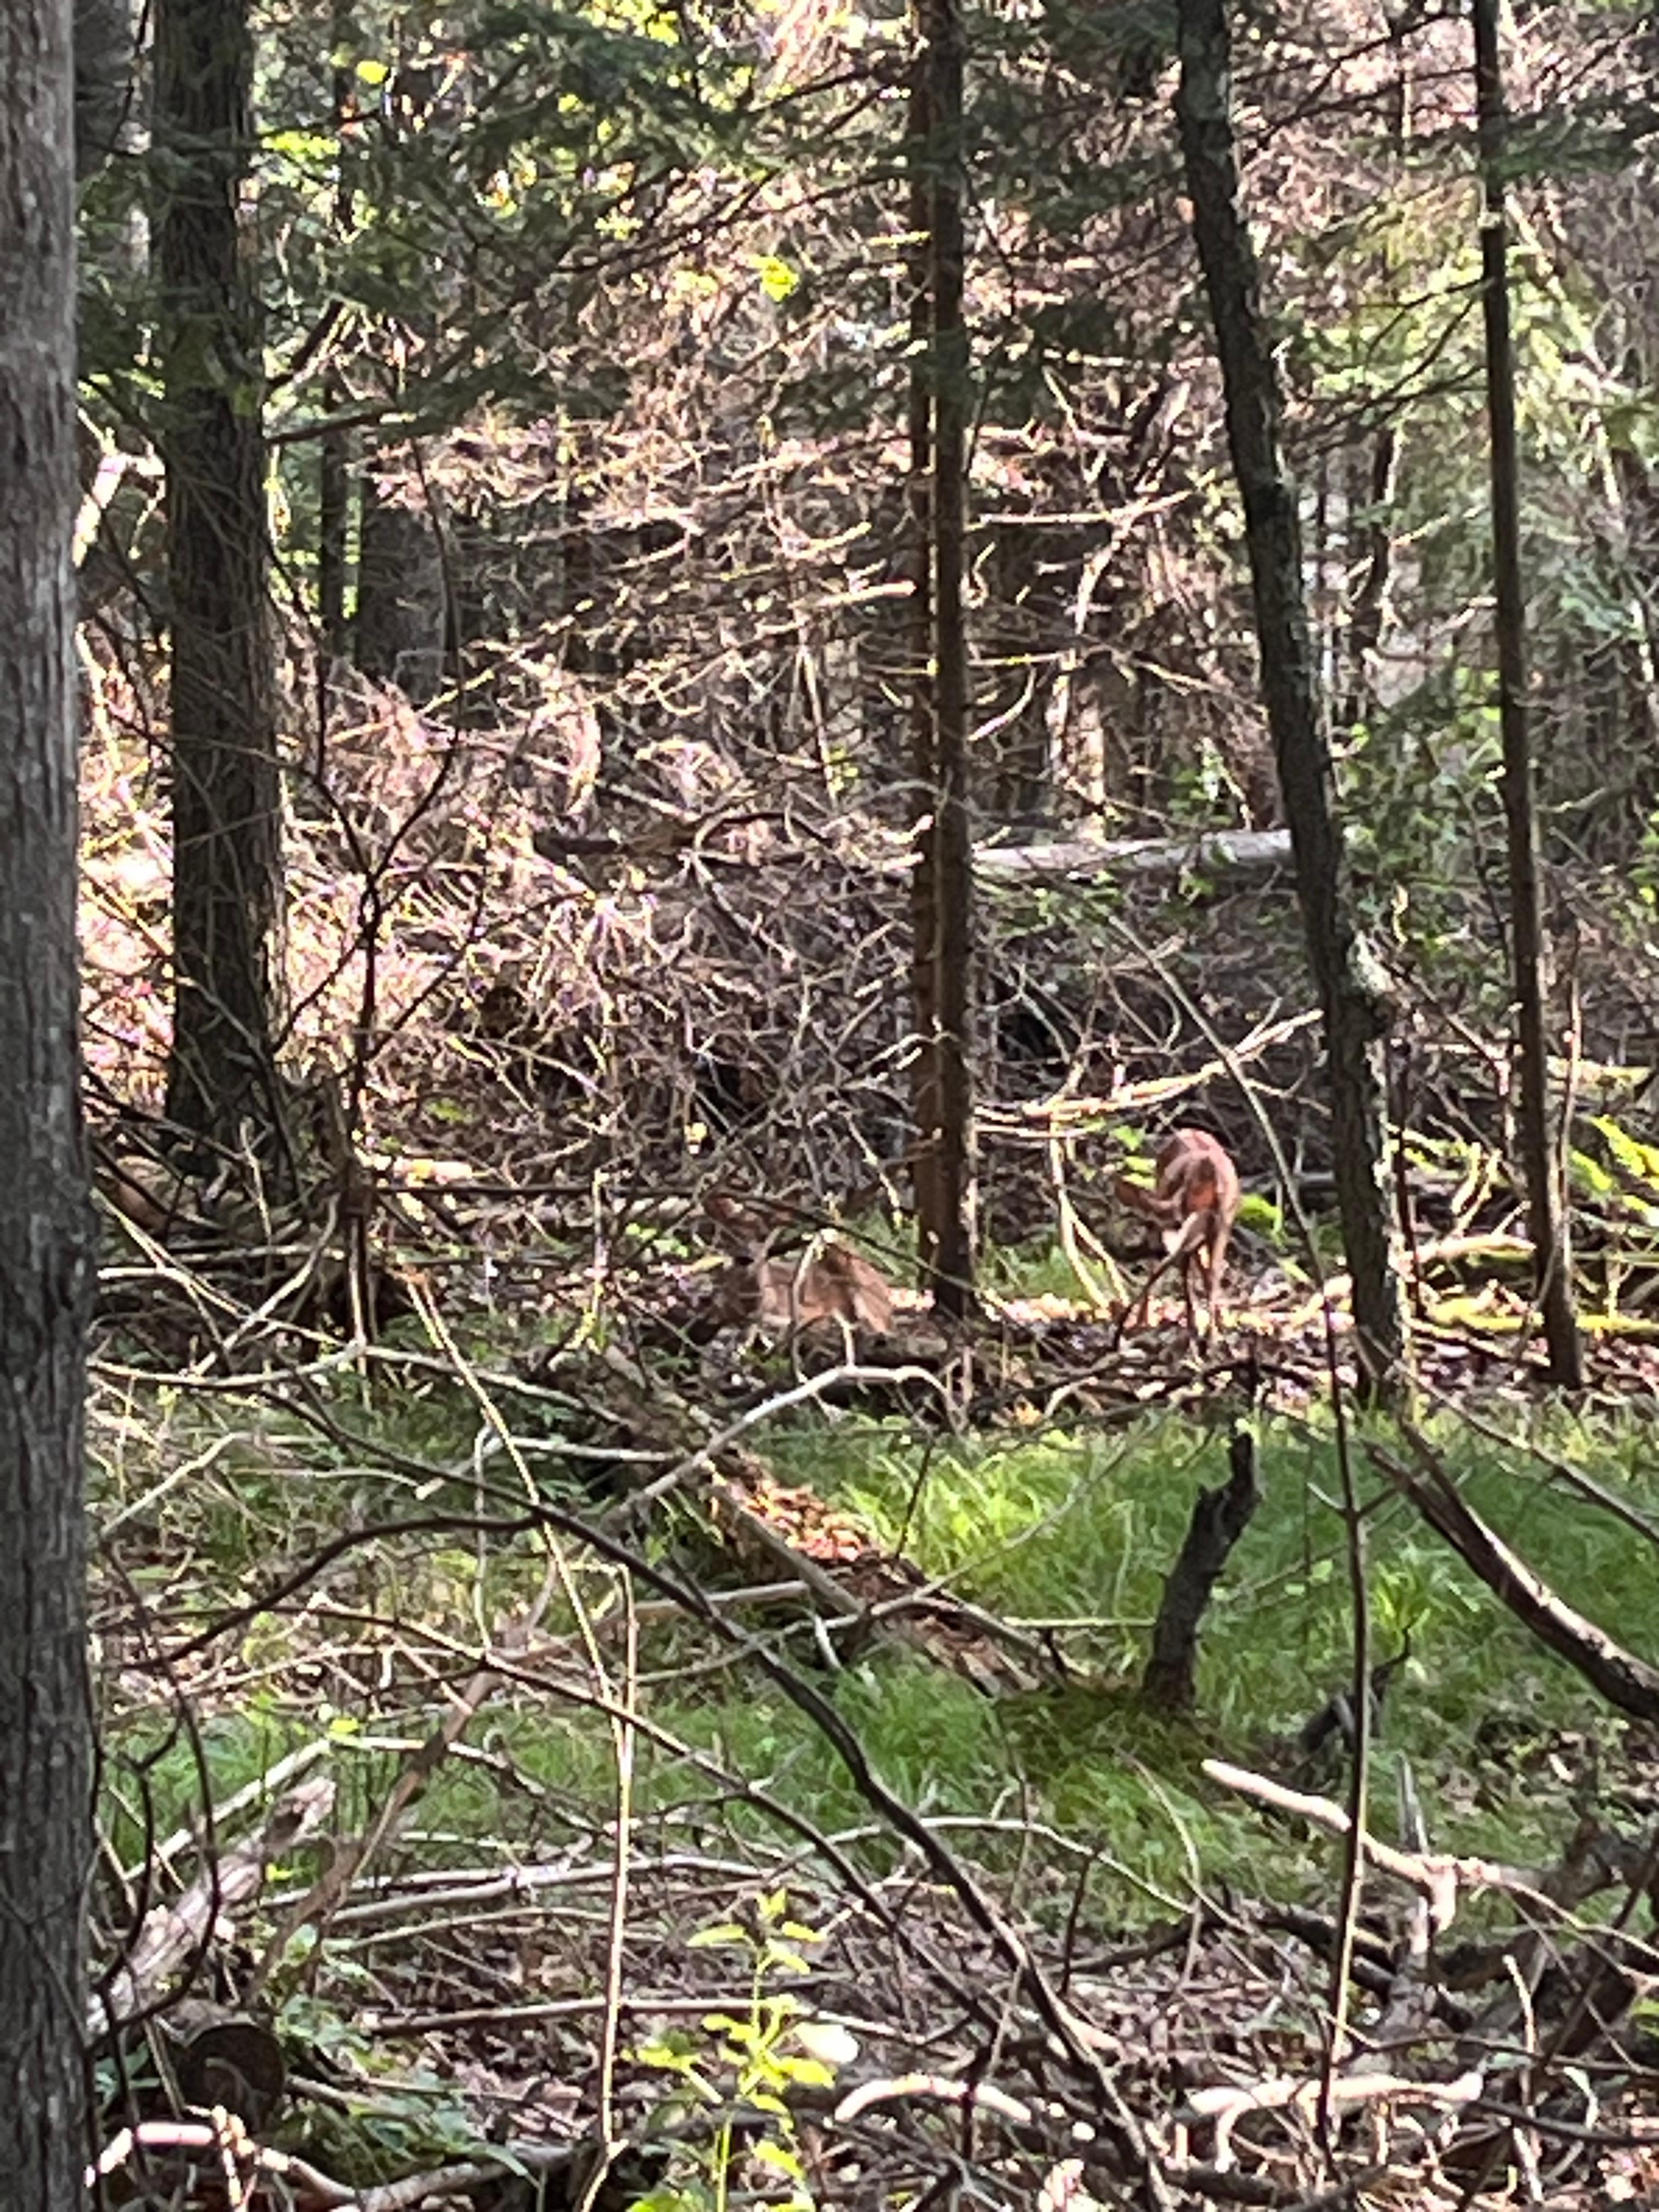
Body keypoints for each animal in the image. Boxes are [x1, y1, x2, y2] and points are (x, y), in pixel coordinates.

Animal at [1112, 1128, 1240, 1346]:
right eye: (1148, 1224)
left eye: (1179, 1224)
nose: (1159, 1249)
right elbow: (1188, 1276)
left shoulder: (1218, 1227)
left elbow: (1205, 1275)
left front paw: (1207, 1332)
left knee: (1202, 1271)